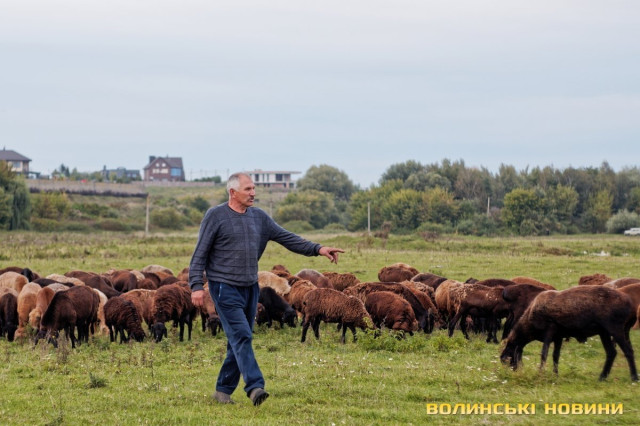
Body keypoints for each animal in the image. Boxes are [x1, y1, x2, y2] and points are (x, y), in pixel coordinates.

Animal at [500, 286, 638, 381]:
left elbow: (544, 354)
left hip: (615, 328)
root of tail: (631, 305)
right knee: (611, 352)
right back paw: (602, 377)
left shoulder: (549, 331)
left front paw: (541, 373)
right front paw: (555, 375)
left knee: (628, 351)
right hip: (604, 332)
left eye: (508, 358)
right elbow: (555, 356)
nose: (514, 372)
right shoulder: (558, 336)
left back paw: (634, 377)